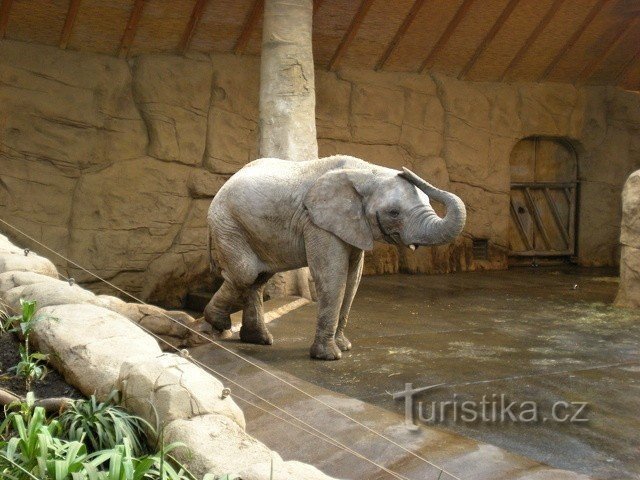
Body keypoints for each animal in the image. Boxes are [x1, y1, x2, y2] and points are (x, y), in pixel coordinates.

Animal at [205, 155, 464, 360]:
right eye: (394, 213)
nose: (405, 170)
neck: (367, 172)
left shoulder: (351, 224)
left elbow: (353, 278)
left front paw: (344, 347)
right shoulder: (317, 222)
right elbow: (333, 275)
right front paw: (329, 357)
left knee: (258, 278)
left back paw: (257, 339)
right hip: (228, 223)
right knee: (246, 273)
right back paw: (218, 323)